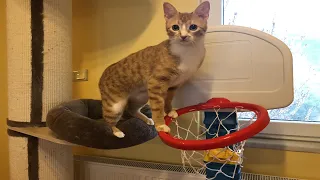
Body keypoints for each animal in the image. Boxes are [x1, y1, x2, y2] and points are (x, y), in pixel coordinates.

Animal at [99, 1, 211, 137]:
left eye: (193, 27)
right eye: (175, 27)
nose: (183, 36)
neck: (187, 51)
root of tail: (103, 74)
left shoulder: (174, 85)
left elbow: (168, 99)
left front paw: (169, 111)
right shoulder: (155, 83)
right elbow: (157, 107)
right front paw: (160, 125)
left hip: (142, 96)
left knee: (131, 110)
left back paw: (146, 119)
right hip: (115, 105)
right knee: (106, 119)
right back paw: (116, 131)